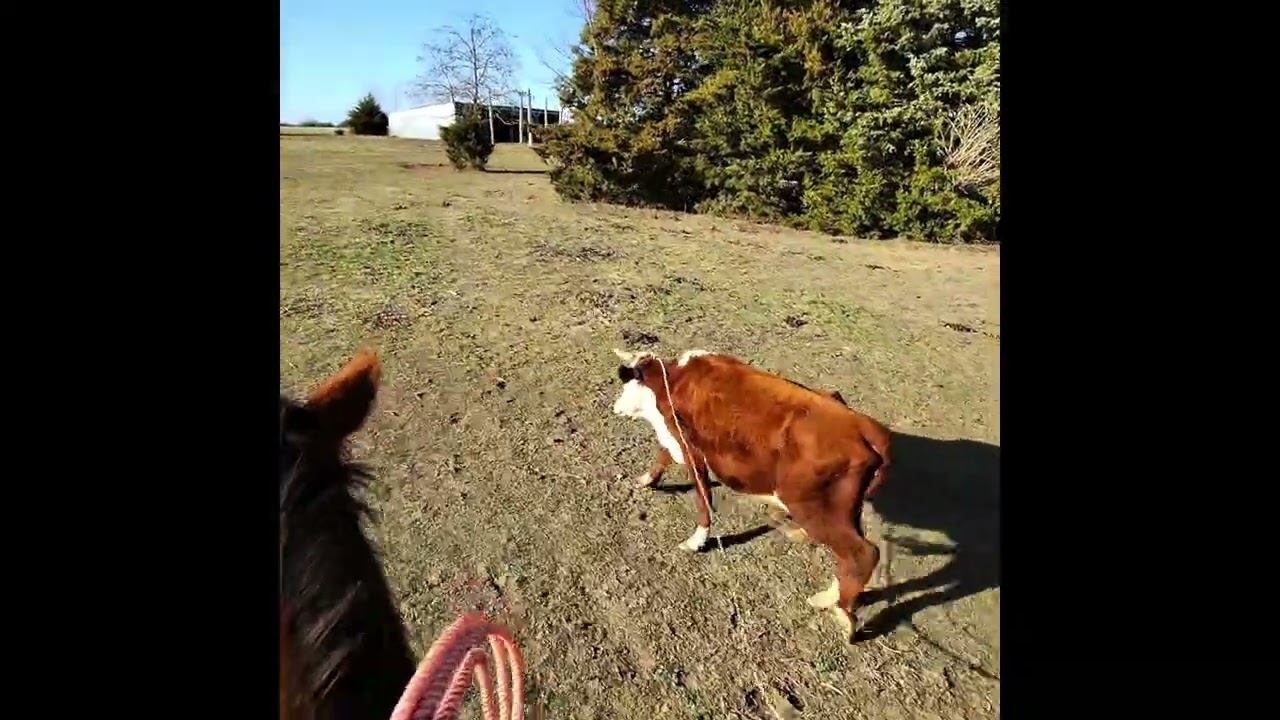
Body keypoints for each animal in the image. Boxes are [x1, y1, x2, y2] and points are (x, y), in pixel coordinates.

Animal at [610, 348, 892, 642]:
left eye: (626, 383)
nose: (615, 407)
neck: (674, 381)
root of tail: (862, 425)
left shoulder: (690, 448)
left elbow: (702, 496)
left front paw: (697, 540)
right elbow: (663, 457)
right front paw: (645, 481)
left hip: (814, 509)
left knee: (863, 553)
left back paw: (842, 613)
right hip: (843, 512)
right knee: (851, 557)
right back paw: (827, 596)